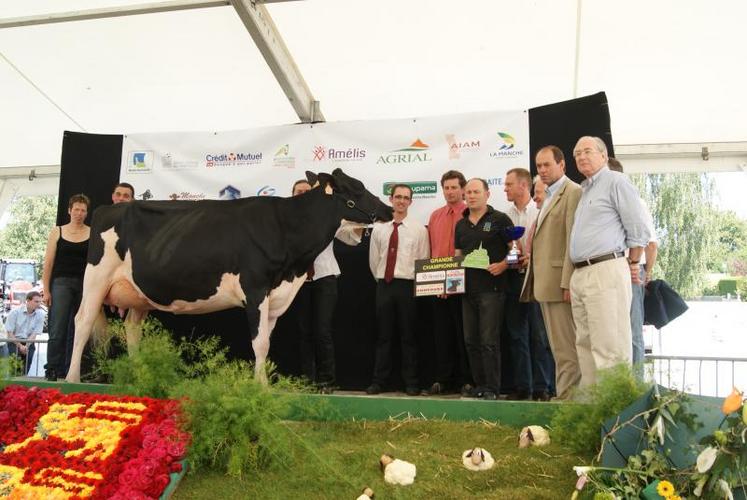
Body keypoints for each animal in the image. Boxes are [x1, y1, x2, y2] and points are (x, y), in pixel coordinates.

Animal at [65, 168, 392, 382]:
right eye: (357, 188)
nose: (389, 210)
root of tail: (108, 208)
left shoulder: (275, 297)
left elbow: (266, 343)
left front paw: (262, 386)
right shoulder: (256, 288)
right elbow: (259, 343)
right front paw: (260, 388)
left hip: (138, 294)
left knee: (132, 329)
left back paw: (139, 375)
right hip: (96, 279)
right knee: (82, 322)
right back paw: (72, 379)